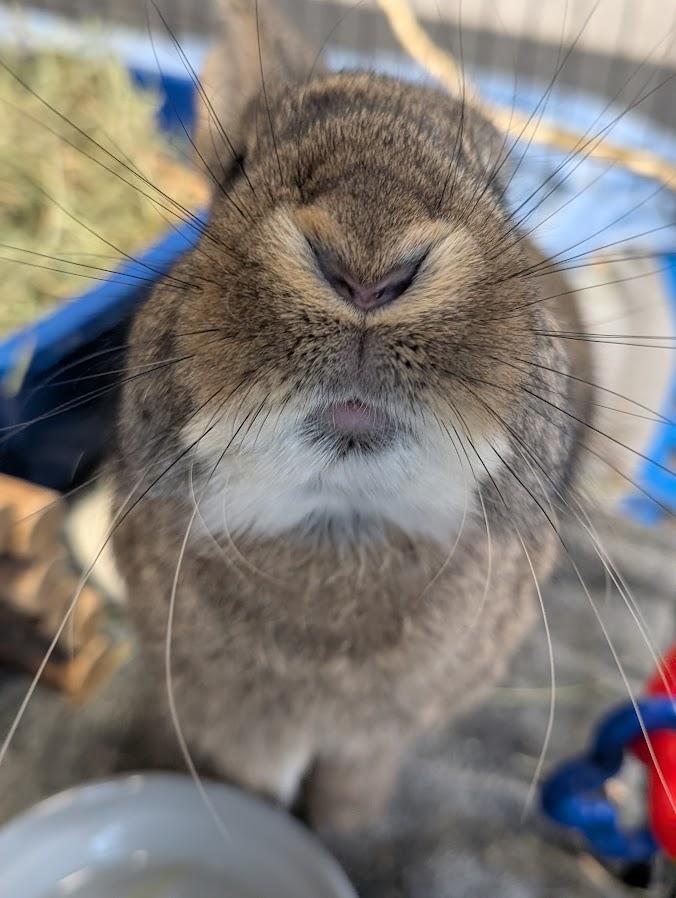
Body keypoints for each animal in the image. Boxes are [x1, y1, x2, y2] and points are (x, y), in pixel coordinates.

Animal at [111, 0, 593, 833]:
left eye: (499, 187)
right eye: (234, 168)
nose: (368, 272)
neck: (338, 522)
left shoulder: (374, 738)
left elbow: (350, 788)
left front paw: (346, 833)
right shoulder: (241, 727)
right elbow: (254, 782)